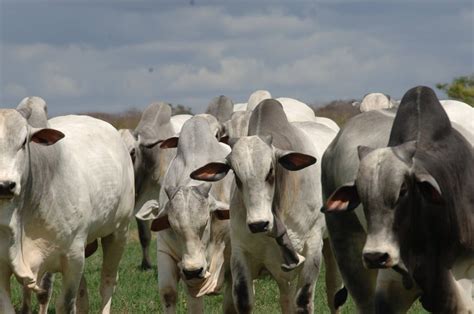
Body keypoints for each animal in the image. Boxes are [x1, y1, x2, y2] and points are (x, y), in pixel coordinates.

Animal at [189, 100, 336, 314]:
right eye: (236, 175)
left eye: (271, 170)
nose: (259, 224)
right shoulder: (240, 253)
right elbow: (243, 300)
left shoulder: (313, 250)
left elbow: (303, 302)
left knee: (334, 293)